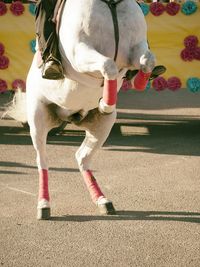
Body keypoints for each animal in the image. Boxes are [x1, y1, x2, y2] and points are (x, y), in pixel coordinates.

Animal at [7, 0, 155, 220]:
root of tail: (70, 117)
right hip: (38, 119)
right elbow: (108, 65)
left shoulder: (137, 47)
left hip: (103, 126)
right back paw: (43, 205)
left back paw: (102, 200)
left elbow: (147, 61)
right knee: (42, 161)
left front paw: (138, 80)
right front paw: (105, 102)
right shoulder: (80, 50)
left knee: (82, 158)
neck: (111, 4)